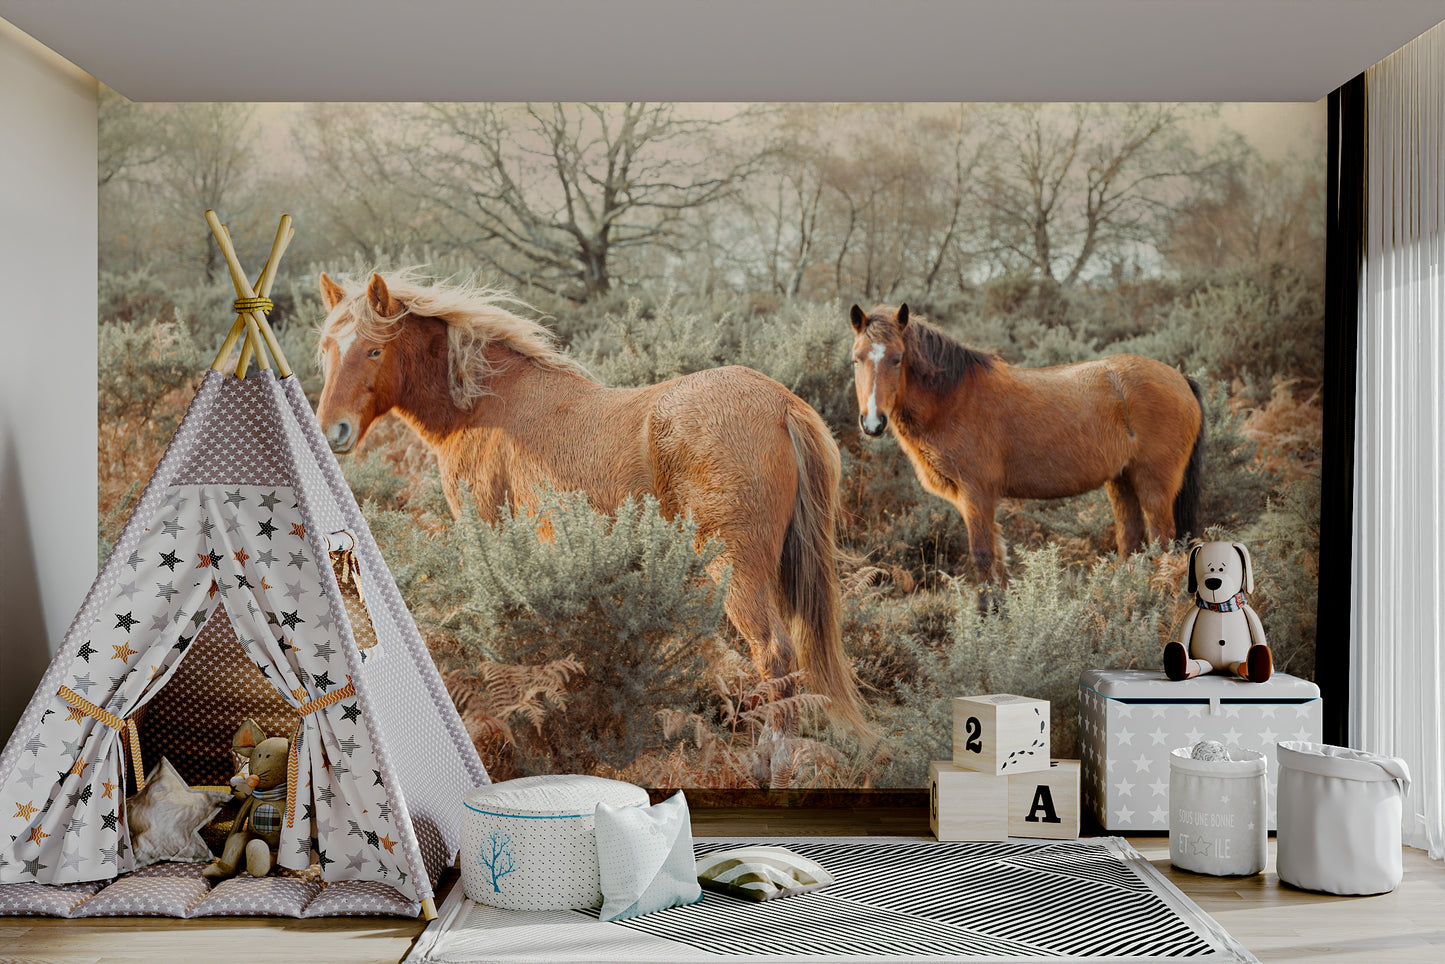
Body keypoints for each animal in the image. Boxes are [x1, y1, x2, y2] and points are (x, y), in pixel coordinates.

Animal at [313, 270, 869, 734]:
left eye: (373, 351)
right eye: (326, 350)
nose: (331, 430)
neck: (485, 405)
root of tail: (781, 404)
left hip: (737, 567)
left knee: (772, 653)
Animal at [848, 303, 1204, 590]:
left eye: (897, 359)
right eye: (856, 359)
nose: (873, 423)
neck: (953, 399)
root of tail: (1181, 379)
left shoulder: (976, 495)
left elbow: (982, 557)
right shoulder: (975, 501)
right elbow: (998, 561)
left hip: (1154, 487)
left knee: (1164, 547)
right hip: (1121, 481)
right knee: (1131, 543)